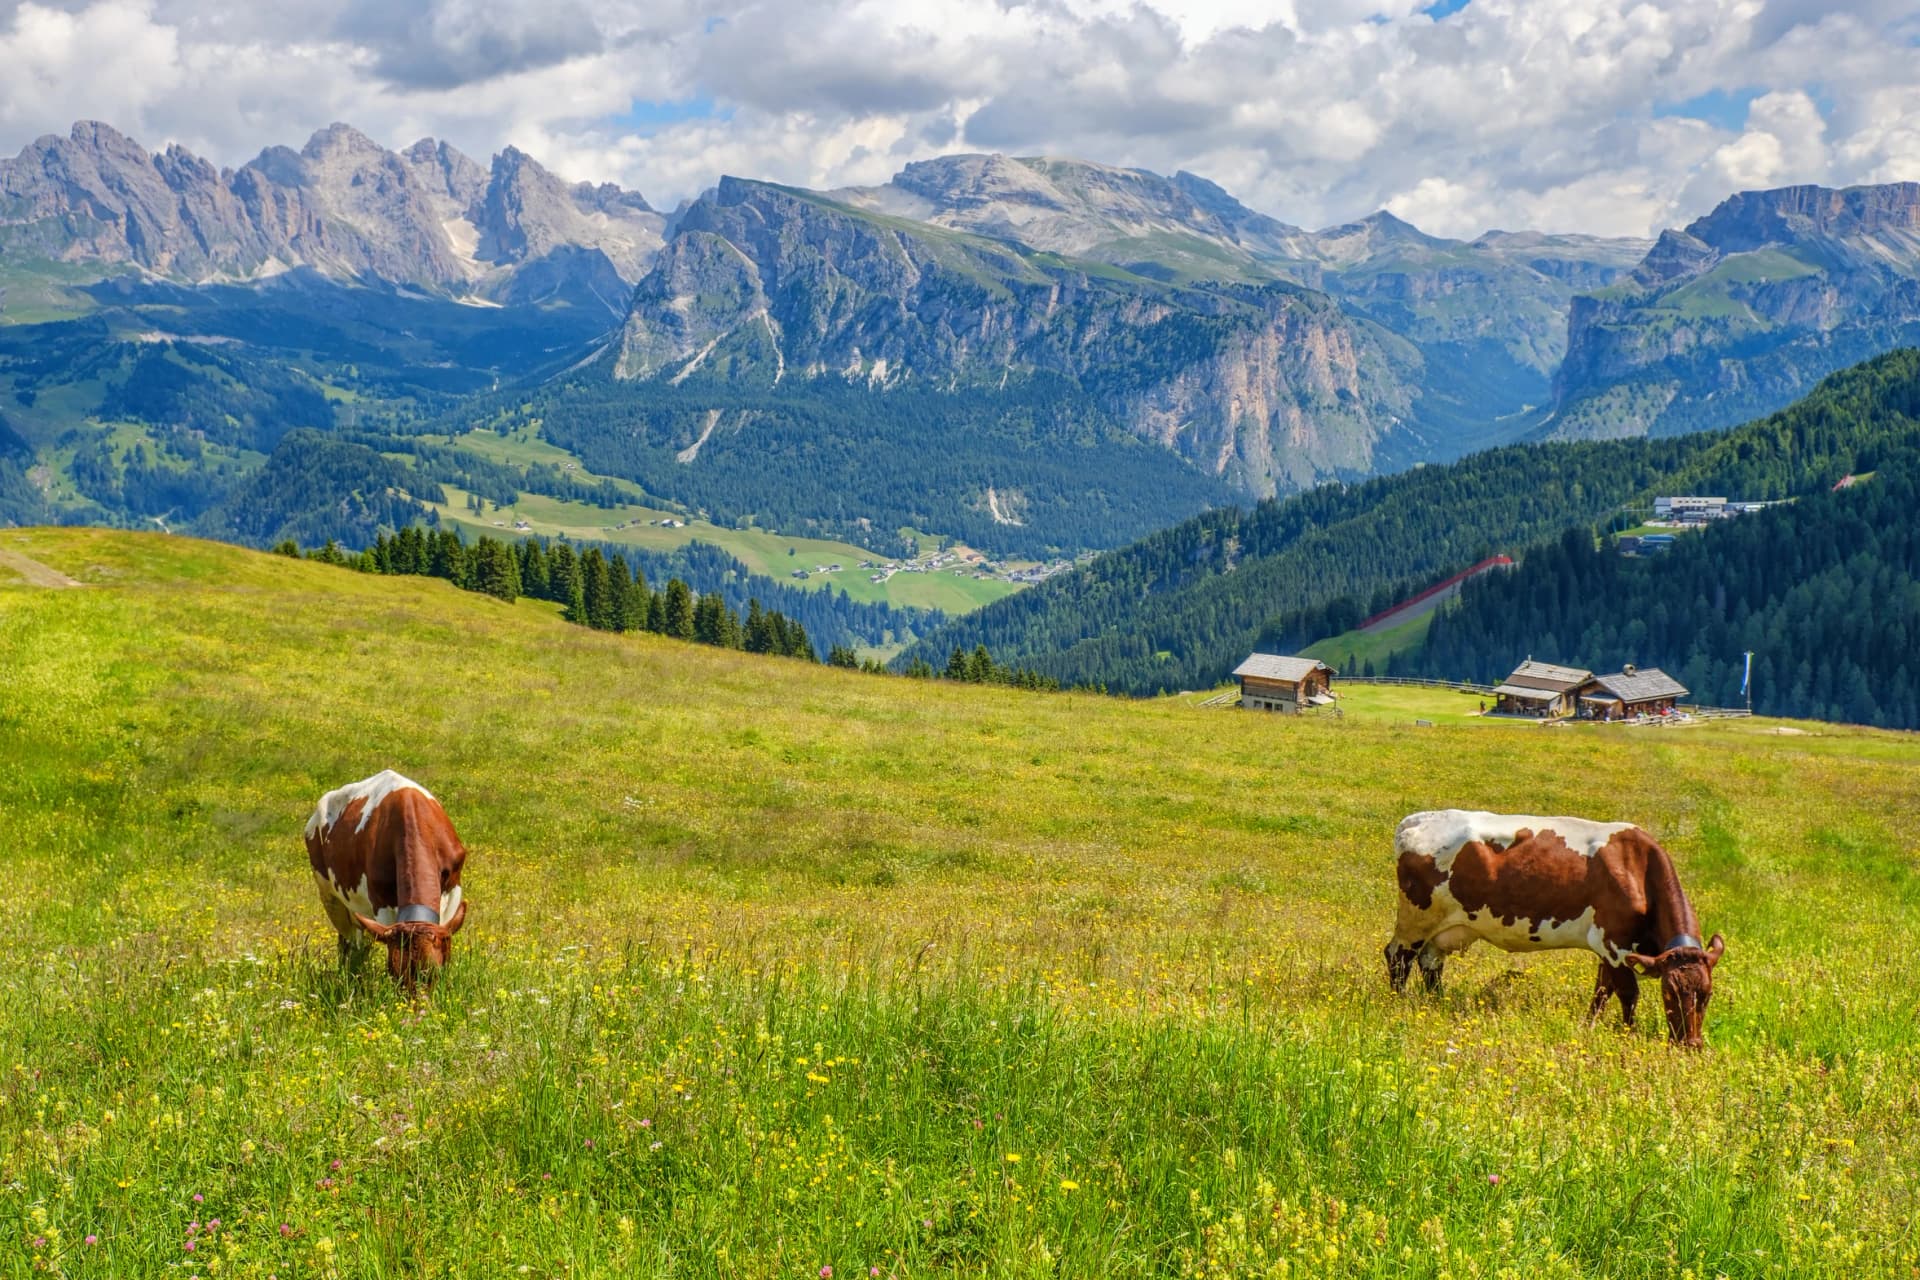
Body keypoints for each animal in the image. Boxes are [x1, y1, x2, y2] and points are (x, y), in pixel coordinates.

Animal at [305, 770, 468, 993]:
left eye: (434, 971)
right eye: (395, 973)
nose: (417, 1003)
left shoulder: (453, 891)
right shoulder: (380, 904)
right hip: (330, 898)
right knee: (348, 943)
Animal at [1385, 809, 1724, 1047]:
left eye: (1707, 994)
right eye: (1669, 992)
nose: (1691, 1044)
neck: (1636, 869)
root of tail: (1417, 819)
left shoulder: (1605, 948)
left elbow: (1602, 989)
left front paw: (1589, 1025)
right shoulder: (1614, 944)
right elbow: (1628, 993)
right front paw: (1628, 1034)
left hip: (1447, 927)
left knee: (1431, 962)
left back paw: (1436, 1004)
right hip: (1415, 919)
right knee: (1398, 957)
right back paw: (1399, 1005)